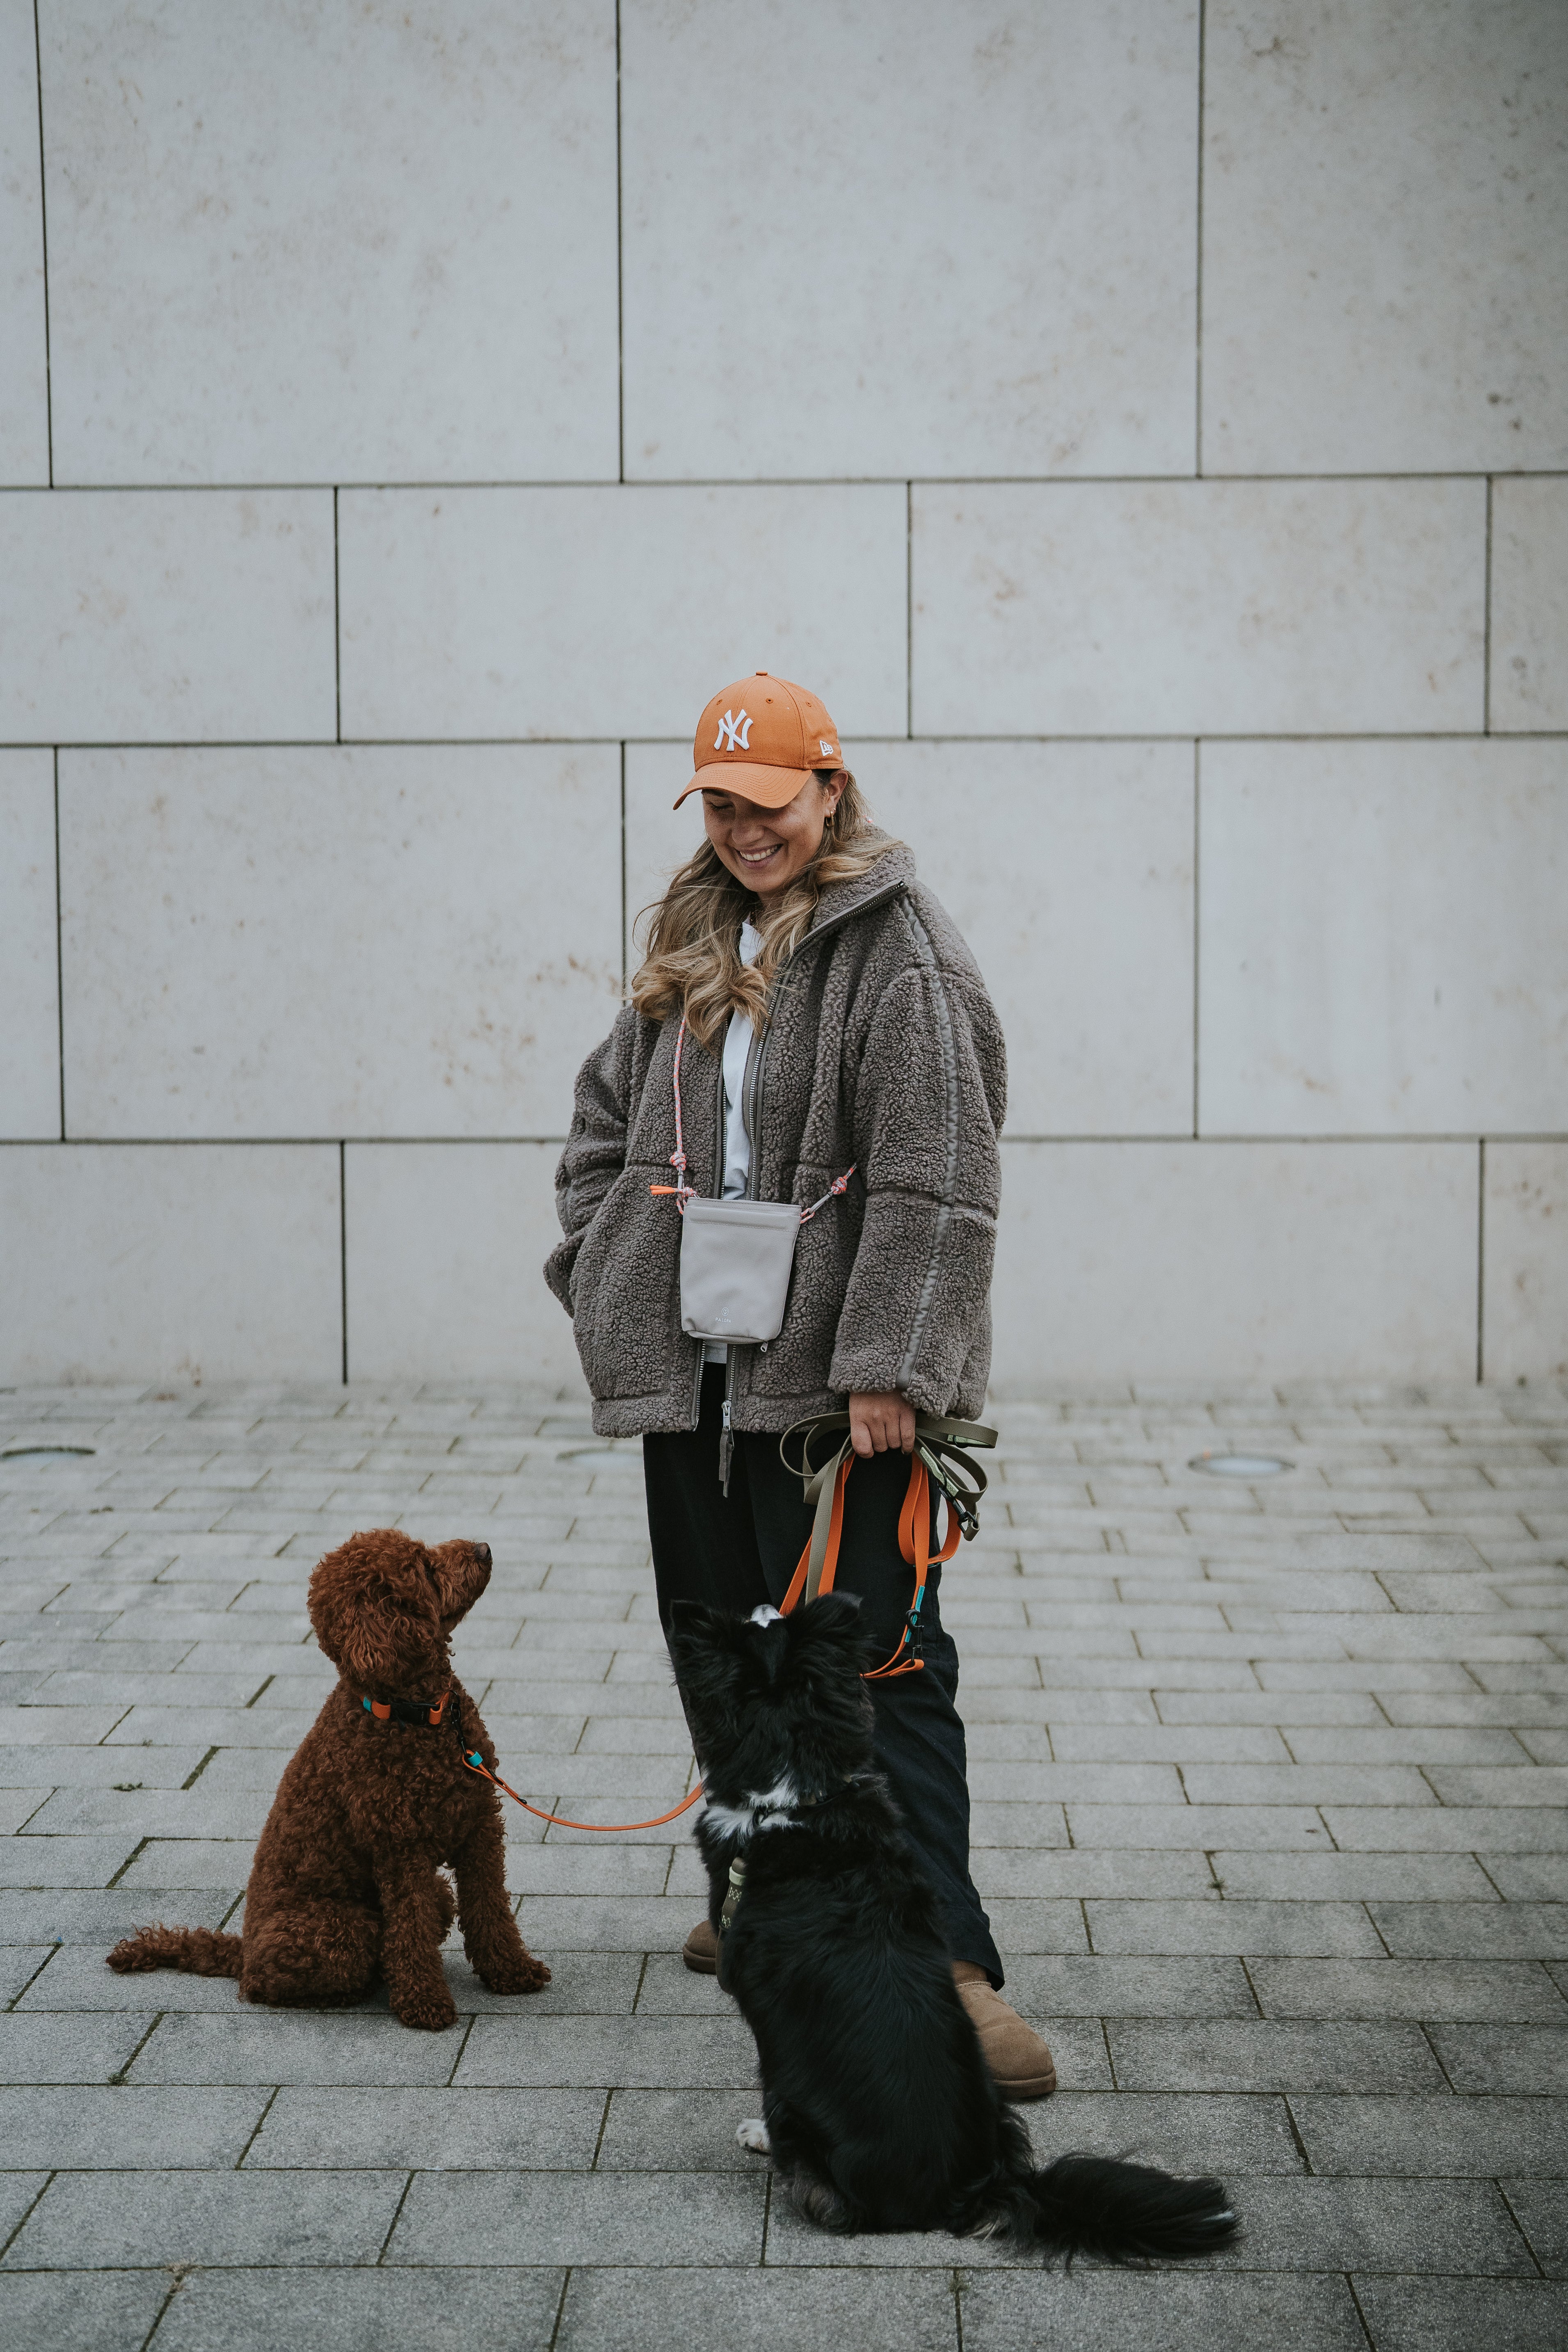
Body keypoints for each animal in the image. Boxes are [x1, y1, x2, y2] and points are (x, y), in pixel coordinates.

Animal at [667, 1599, 1241, 2258]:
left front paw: (753, 2133)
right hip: (999, 2110)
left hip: (797, 2112)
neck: (793, 1798)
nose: (767, 1602)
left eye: (753, 1629)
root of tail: (977, 2189)